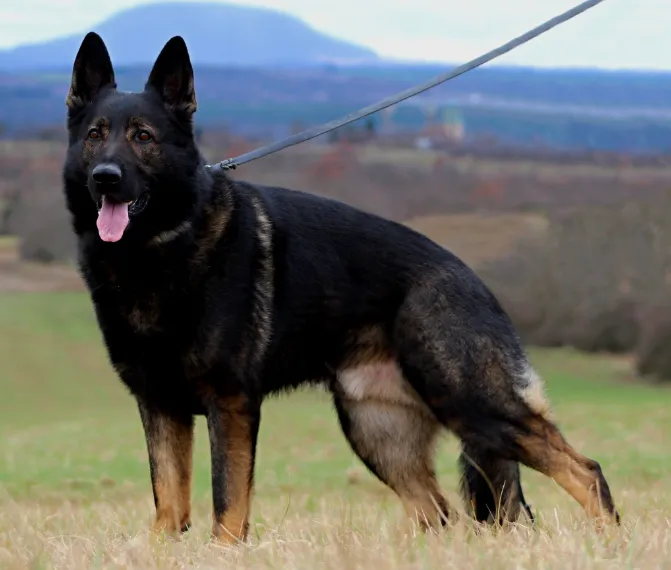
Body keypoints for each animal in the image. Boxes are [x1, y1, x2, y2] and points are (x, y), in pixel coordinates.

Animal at [61, 33, 620, 544]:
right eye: (95, 135)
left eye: (143, 136)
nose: (105, 177)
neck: (161, 246)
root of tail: (474, 280)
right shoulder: (160, 406)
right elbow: (168, 500)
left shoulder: (231, 404)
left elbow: (227, 501)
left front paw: (223, 551)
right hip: (377, 432)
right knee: (439, 515)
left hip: (473, 405)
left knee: (585, 470)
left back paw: (609, 542)